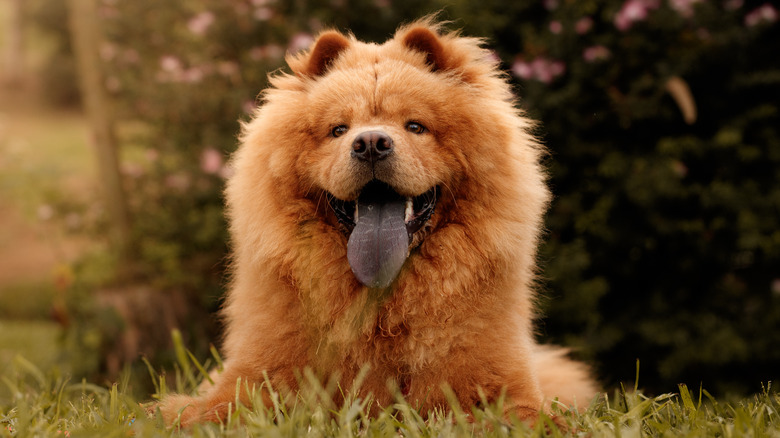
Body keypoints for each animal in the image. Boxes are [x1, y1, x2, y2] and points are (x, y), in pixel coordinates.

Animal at [158, 18, 596, 426]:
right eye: (338, 130)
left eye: (415, 126)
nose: (370, 143)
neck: (380, 305)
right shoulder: (258, 373)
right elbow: (217, 408)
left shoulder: (492, 378)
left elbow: (523, 413)